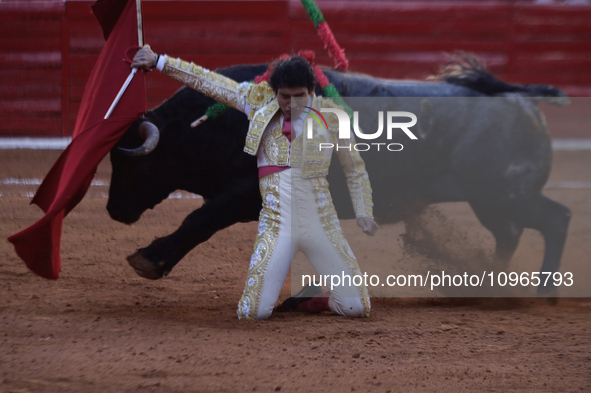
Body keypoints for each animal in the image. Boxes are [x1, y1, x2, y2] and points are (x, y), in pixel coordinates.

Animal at [106, 62, 572, 292]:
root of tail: (518, 99)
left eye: (131, 163)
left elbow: (197, 221)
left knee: (556, 219)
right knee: (509, 234)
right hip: (488, 199)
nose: (113, 209)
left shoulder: (238, 195)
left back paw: (543, 291)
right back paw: (488, 284)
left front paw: (148, 259)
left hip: (506, 193)